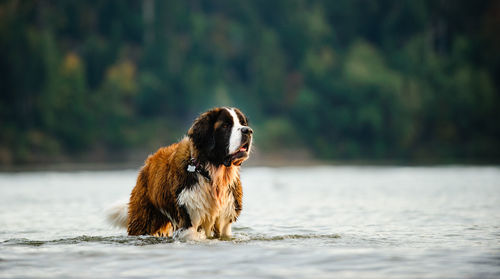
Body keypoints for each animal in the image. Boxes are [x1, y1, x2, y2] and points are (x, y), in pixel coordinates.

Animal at [106, 106, 254, 240]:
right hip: (144, 220)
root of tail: (147, 163)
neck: (210, 173)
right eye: (225, 126)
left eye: (243, 123)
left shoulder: (224, 222)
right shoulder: (188, 220)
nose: (248, 131)